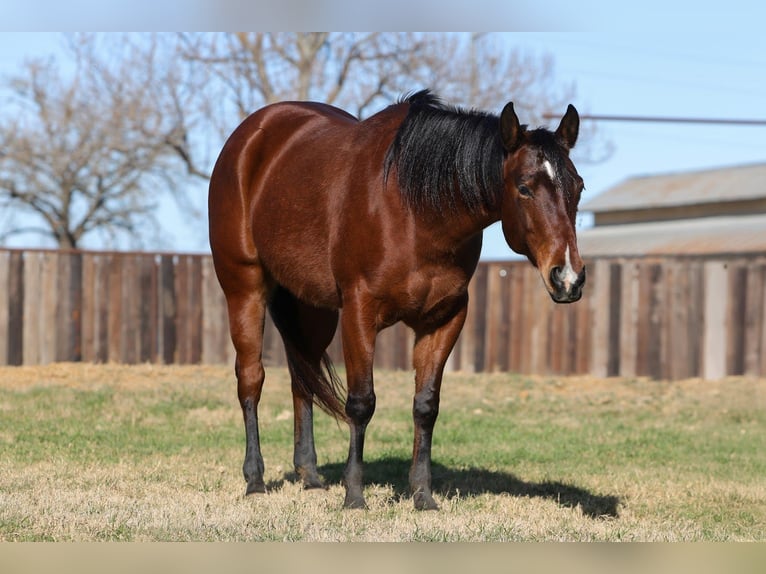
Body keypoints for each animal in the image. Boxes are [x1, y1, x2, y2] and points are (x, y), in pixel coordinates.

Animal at [208, 90, 586, 510]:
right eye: (524, 187)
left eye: (579, 188)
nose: (568, 277)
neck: (417, 212)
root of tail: (250, 134)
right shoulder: (359, 312)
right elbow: (361, 403)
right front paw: (355, 496)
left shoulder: (445, 318)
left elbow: (426, 405)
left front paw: (422, 495)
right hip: (244, 288)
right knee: (251, 378)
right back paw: (255, 480)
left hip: (312, 308)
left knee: (302, 378)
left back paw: (310, 475)